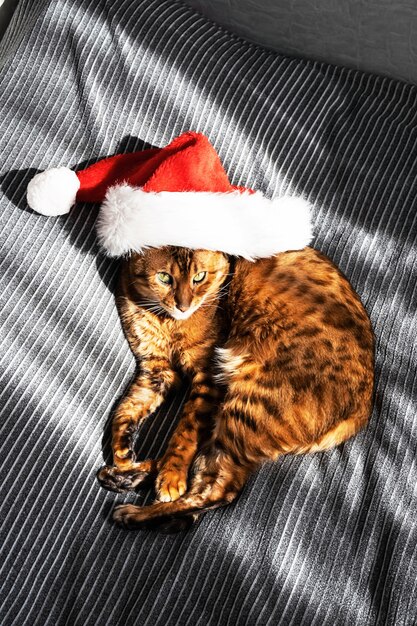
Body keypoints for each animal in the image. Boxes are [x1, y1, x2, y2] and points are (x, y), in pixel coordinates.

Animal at [96, 246, 374, 528]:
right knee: (203, 483)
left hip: (247, 405)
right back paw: (125, 476)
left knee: (215, 493)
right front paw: (122, 453)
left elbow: (183, 433)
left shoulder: (206, 375)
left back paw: (134, 510)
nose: (183, 306)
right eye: (164, 278)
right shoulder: (155, 371)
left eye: (199, 277)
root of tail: (363, 409)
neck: (163, 320)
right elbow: (126, 409)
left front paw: (172, 477)